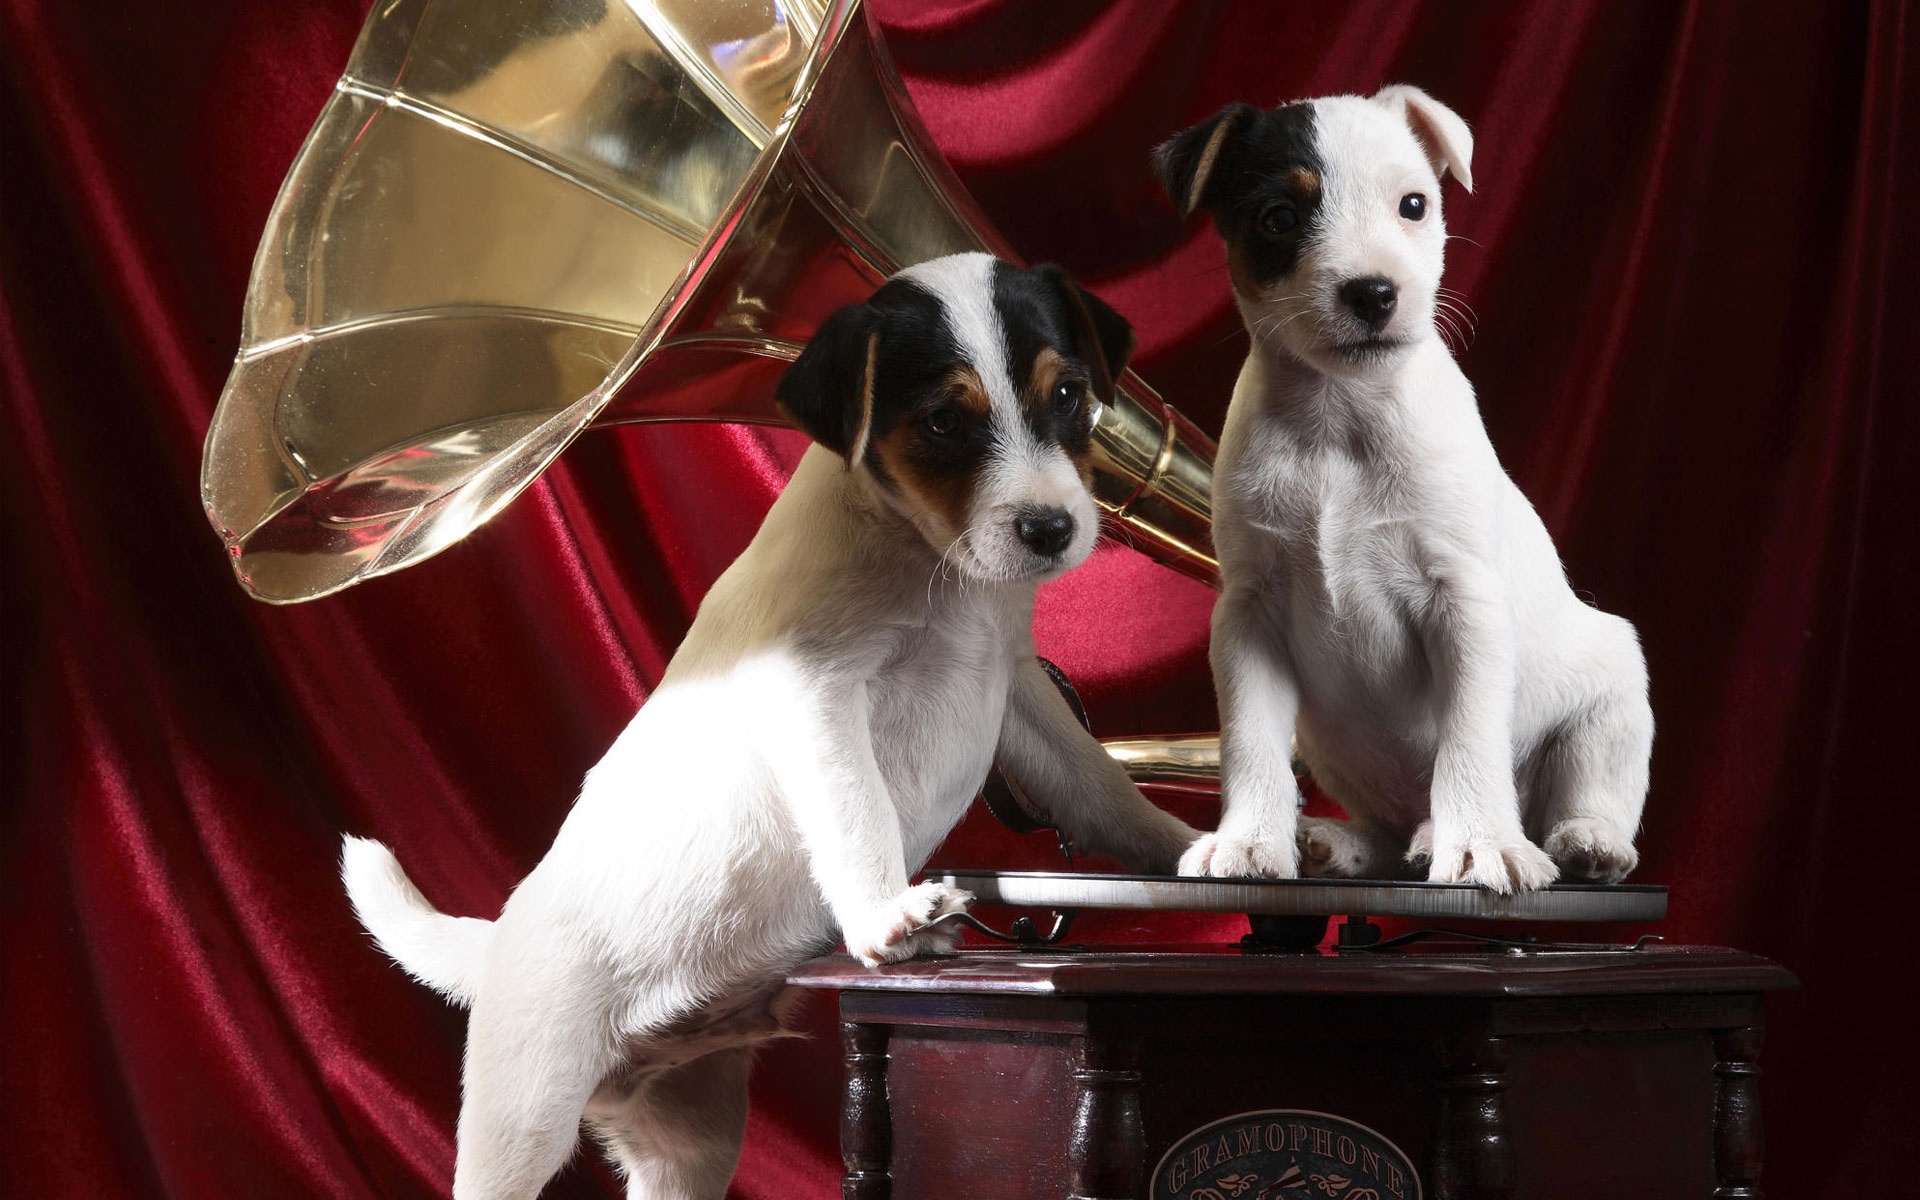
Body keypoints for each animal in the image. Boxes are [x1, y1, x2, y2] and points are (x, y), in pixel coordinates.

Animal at [337, 249, 1190, 1198]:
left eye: (1070, 395)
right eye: (942, 421)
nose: (1050, 529)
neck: (933, 565)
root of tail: (492, 947)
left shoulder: (1019, 696)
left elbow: (1103, 788)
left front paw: (1202, 849)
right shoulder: (813, 693)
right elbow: (858, 811)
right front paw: (885, 915)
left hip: (689, 1146)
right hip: (523, 1115)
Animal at [1144, 86, 1658, 890]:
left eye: (1413, 205)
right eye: (1278, 218)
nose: (1373, 292)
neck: (1340, 419)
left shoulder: (1464, 604)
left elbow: (1470, 736)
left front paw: (1480, 843)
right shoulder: (1249, 617)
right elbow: (1251, 740)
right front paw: (1250, 840)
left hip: (1612, 696)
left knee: (1586, 787)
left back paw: (1584, 842)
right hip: (1330, 748)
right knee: (1388, 828)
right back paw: (1346, 842)